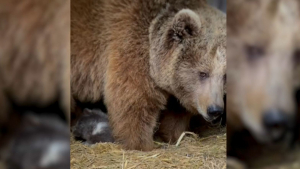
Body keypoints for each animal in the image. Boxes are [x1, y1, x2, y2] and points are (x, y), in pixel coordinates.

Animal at [71, 0, 225, 151]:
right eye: (203, 73)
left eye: (225, 76)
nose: (215, 110)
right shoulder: (130, 46)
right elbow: (135, 100)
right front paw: (140, 144)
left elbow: (176, 113)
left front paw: (173, 136)